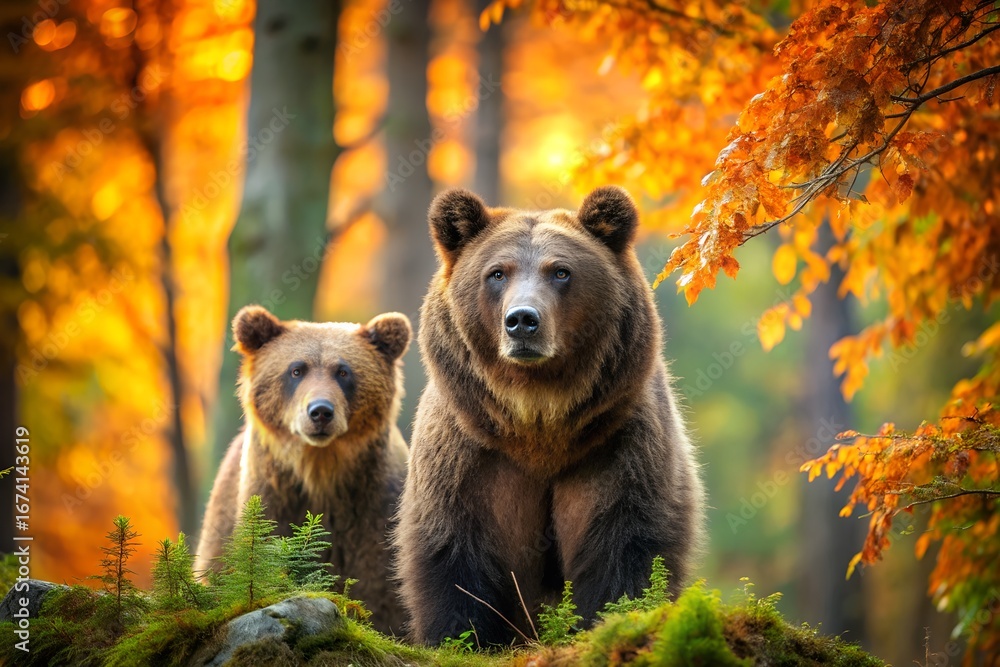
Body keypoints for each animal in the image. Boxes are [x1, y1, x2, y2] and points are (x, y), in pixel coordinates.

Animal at [195, 305, 411, 635]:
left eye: (343, 371)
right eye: (296, 370)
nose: (320, 411)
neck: (319, 469)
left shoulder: (374, 510)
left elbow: (382, 590)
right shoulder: (274, 498)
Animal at [394, 186, 705, 645]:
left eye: (560, 271)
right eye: (497, 273)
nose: (523, 320)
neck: (537, 418)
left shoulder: (615, 443)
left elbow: (623, 538)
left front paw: (611, 617)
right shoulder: (468, 449)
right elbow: (454, 546)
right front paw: (462, 634)